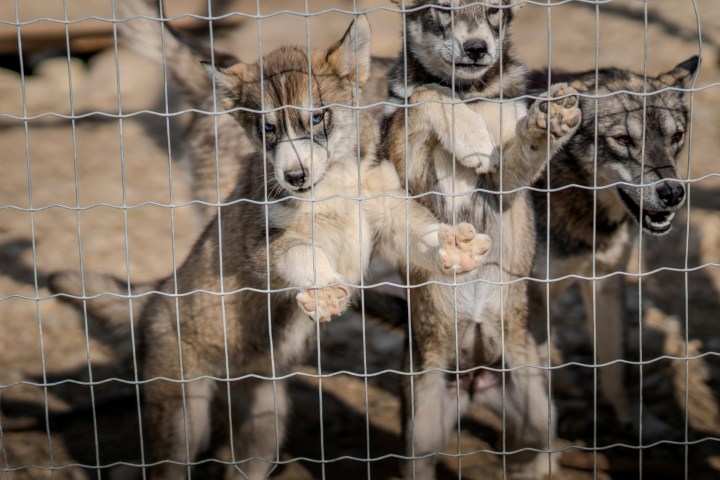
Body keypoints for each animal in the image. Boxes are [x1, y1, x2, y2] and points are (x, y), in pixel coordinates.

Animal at [382, 1, 581, 478]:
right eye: (443, 10)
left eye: (493, 10)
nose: (477, 49)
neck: (470, 93)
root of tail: (474, 382)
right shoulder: (406, 172)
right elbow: (427, 95)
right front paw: (468, 135)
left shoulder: (505, 181)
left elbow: (521, 150)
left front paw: (548, 121)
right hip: (422, 424)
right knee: (419, 461)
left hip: (537, 407)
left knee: (537, 451)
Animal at [529, 56, 700, 440]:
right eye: (623, 139)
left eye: (676, 137)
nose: (672, 193)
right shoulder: (532, 295)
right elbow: (539, 389)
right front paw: (545, 450)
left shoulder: (605, 279)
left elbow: (616, 366)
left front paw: (639, 423)